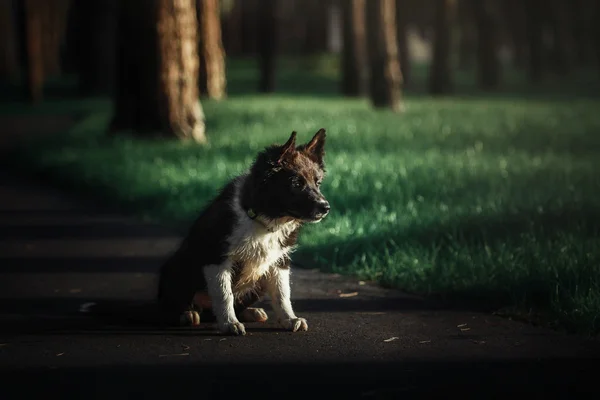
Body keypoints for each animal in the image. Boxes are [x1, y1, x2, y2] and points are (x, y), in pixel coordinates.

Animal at [150, 128, 328, 334]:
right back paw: (186, 314)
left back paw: (249, 312)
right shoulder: (216, 259)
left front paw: (289, 319)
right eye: (296, 184)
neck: (260, 218)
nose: (326, 207)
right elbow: (224, 294)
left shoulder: (279, 262)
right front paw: (229, 324)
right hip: (177, 268)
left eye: (318, 183)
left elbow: (282, 294)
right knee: (171, 305)